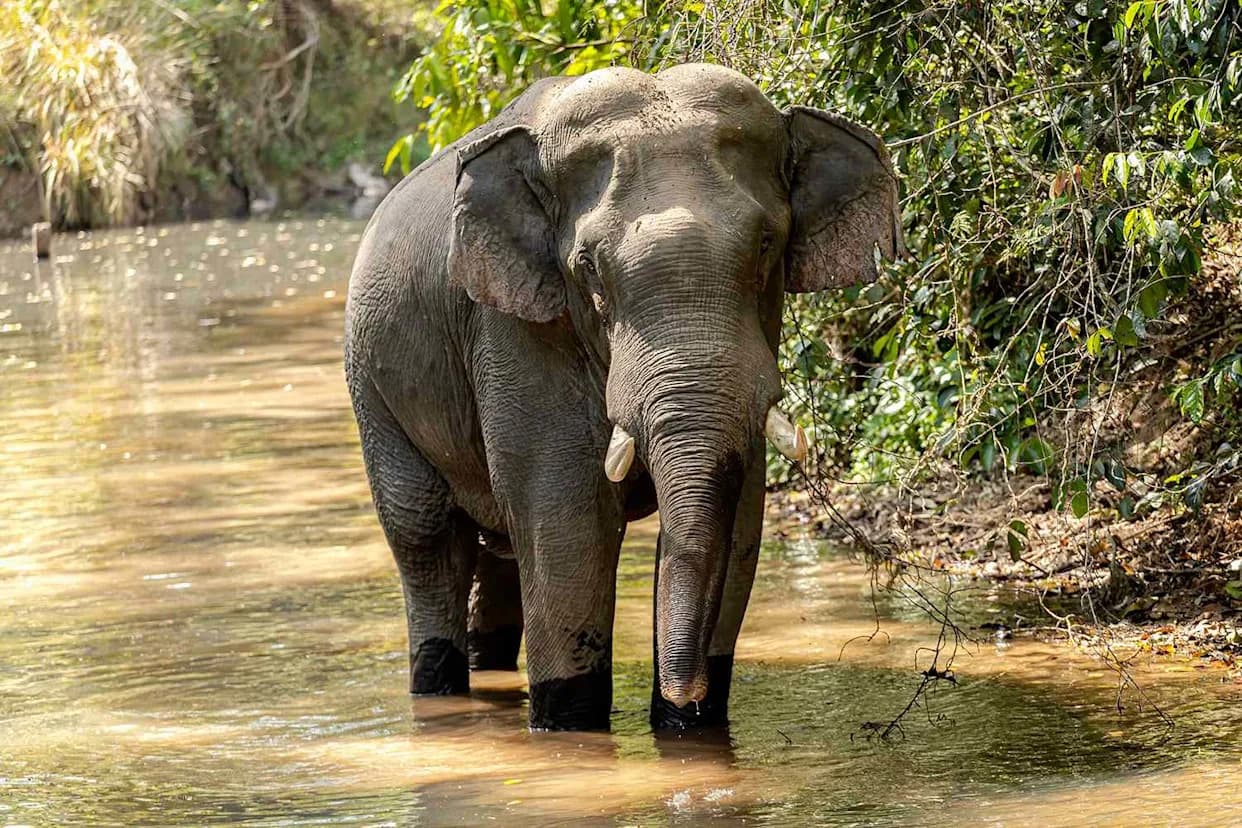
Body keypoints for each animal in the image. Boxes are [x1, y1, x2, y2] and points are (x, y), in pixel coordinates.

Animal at [344, 63, 902, 732]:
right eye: (588, 267)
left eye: (767, 244)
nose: (688, 696)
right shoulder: (513, 330)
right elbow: (568, 524)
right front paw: (567, 724)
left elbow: (741, 516)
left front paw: (688, 727)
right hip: (373, 389)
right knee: (426, 537)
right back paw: (439, 685)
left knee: (497, 551)